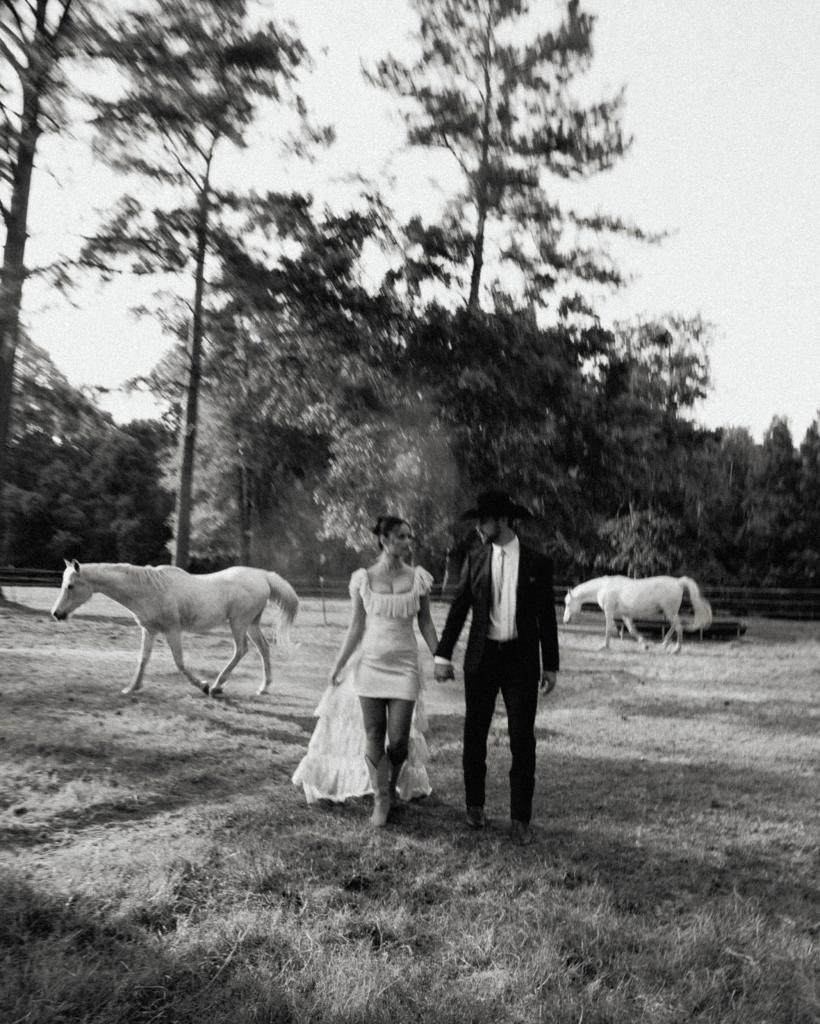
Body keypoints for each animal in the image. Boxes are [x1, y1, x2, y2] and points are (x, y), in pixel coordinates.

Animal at [49, 561, 296, 696]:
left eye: (70, 586)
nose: (56, 613)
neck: (148, 589)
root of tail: (263, 576)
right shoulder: (149, 631)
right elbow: (143, 659)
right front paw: (132, 688)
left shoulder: (172, 631)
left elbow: (179, 662)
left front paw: (203, 685)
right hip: (251, 623)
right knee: (263, 648)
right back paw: (263, 688)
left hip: (239, 623)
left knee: (242, 649)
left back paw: (217, 685)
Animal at [565, 573, 708, 651]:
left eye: (567, 603)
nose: (565, 621)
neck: (603, 587)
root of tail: (678, 582)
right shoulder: (625, 615)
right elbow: (632, 630)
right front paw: (645, 645)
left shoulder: (609, 611)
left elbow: (608, 629)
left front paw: (604, 646)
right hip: (671, 612)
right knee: (676, 625)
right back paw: (665, 643)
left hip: (670, 611)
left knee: (678, 626)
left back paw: (676, 649)